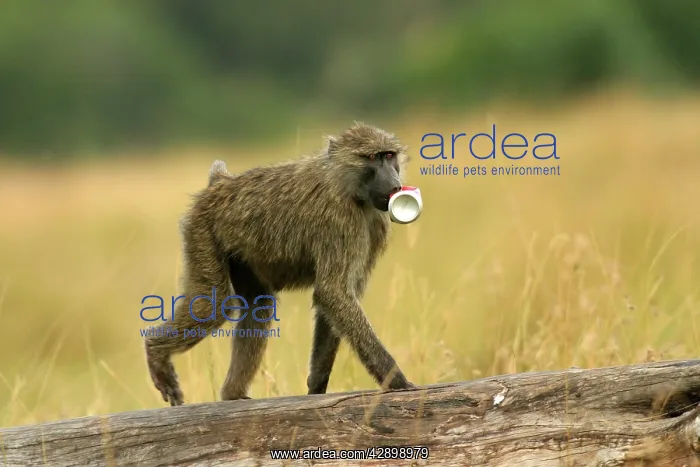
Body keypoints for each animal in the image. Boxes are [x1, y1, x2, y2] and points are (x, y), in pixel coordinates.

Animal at [144, 122, 417, 406]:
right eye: (372, 157)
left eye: (389, 156)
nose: (395, 185)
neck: (346, 185)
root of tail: (220, 184)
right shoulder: (340, 219)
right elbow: (334, 293)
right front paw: (398, 382)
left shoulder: (375, 225)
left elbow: (336, 301)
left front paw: (316, 386)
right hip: (202, 231)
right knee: (214, 305)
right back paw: (156, 352)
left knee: (259, 304)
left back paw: (233, 394)